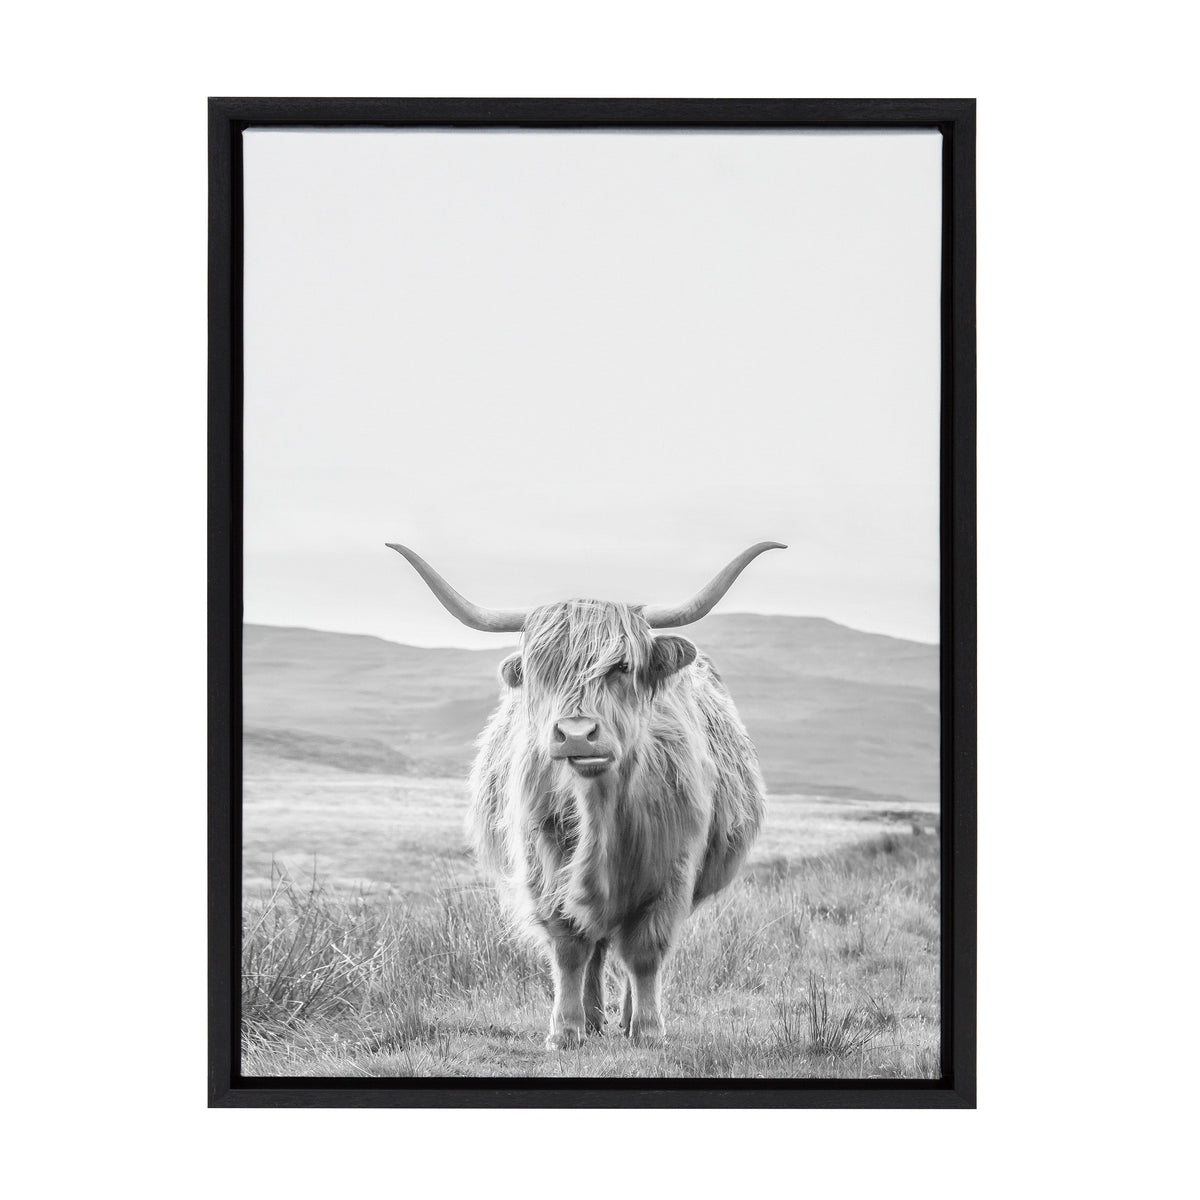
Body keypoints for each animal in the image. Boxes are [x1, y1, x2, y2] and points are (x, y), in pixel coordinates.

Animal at [387, 541, 784, 1048]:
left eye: (622, 667)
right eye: (541, 670)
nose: (576, 734)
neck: (600, 811)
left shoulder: (673, 870)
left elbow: (646, 951)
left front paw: (648, 1029)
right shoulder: (543, 862)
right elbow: (569, 945)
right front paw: (566, 1030)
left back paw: (628, 1017)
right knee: (594, 945)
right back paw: (593, 1018)